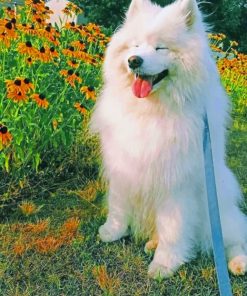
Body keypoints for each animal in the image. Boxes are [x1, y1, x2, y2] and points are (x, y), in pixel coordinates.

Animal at [91, 0, 247, 278]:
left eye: (160, 47)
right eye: (135, 46)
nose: (134, 61)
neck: (150, 110)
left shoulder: (175, 182)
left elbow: (173, 228)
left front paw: (164, 264)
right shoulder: (123, 167)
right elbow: (118, 205)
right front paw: (112, 231)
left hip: (218, 212)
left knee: (233, 238)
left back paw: (238, 263)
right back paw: (152, 242)